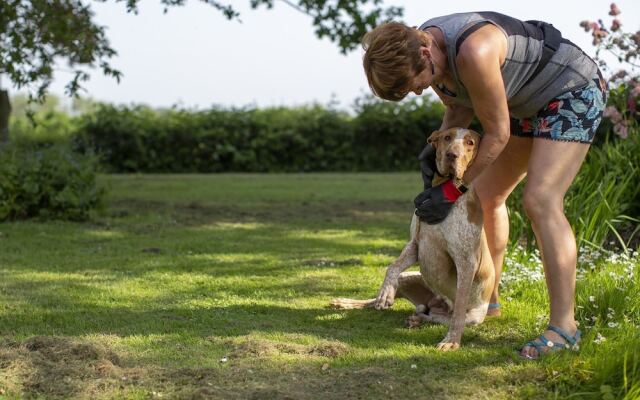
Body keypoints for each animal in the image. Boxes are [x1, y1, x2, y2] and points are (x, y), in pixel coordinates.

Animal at [330, 128, 496, 350]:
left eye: (470, 143)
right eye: (447, 138)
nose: (452, 155)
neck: (442, 191)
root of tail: (436, 303)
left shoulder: (466, 262)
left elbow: (459, 310)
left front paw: (451, 341)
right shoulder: (415, 244)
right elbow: (392, 267)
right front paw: (385, 293)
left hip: (473, 317)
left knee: (439, 317)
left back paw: (420, 319)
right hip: (407, 278)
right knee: (379, 301)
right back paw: (348, 302)